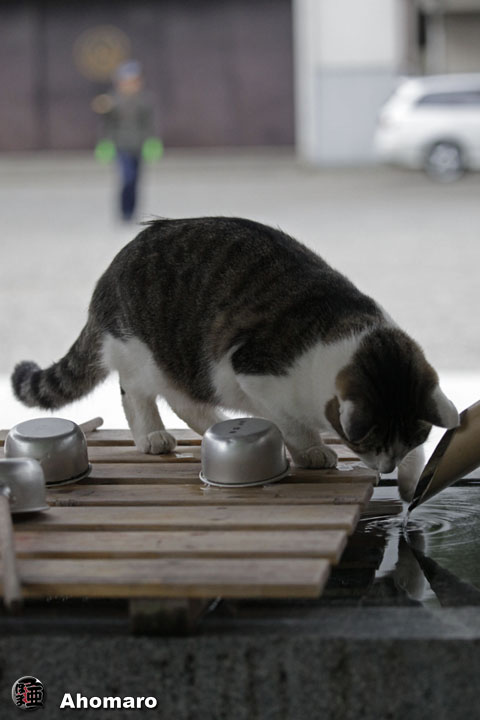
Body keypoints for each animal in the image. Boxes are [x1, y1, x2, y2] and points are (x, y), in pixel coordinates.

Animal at [12, 217, 459, 501]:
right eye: (370, 443)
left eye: (408, 440)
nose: (386, 467)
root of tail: (111, 269)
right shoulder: (254, 373)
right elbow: (291, 424)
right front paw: (312, 451)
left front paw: (411, 480)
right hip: (143, 351)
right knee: (136, 394)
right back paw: (152, 435)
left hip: (185, 366)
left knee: (185, 400)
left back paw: (215, 424)